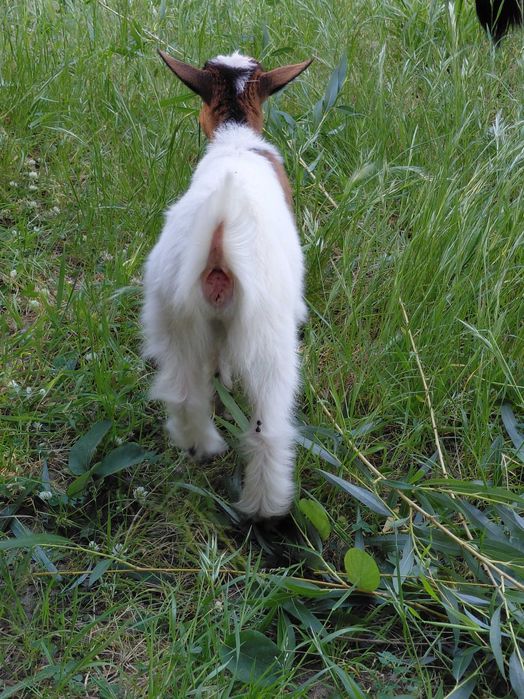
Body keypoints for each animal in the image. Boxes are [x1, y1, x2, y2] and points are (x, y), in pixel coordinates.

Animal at [142, 50, 312, 519]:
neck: (236, 137)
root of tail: (219, 231)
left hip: (175, 316)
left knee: (184, 393)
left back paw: (201, 448)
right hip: (269, 340)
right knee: (269, 429)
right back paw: (265, 508)